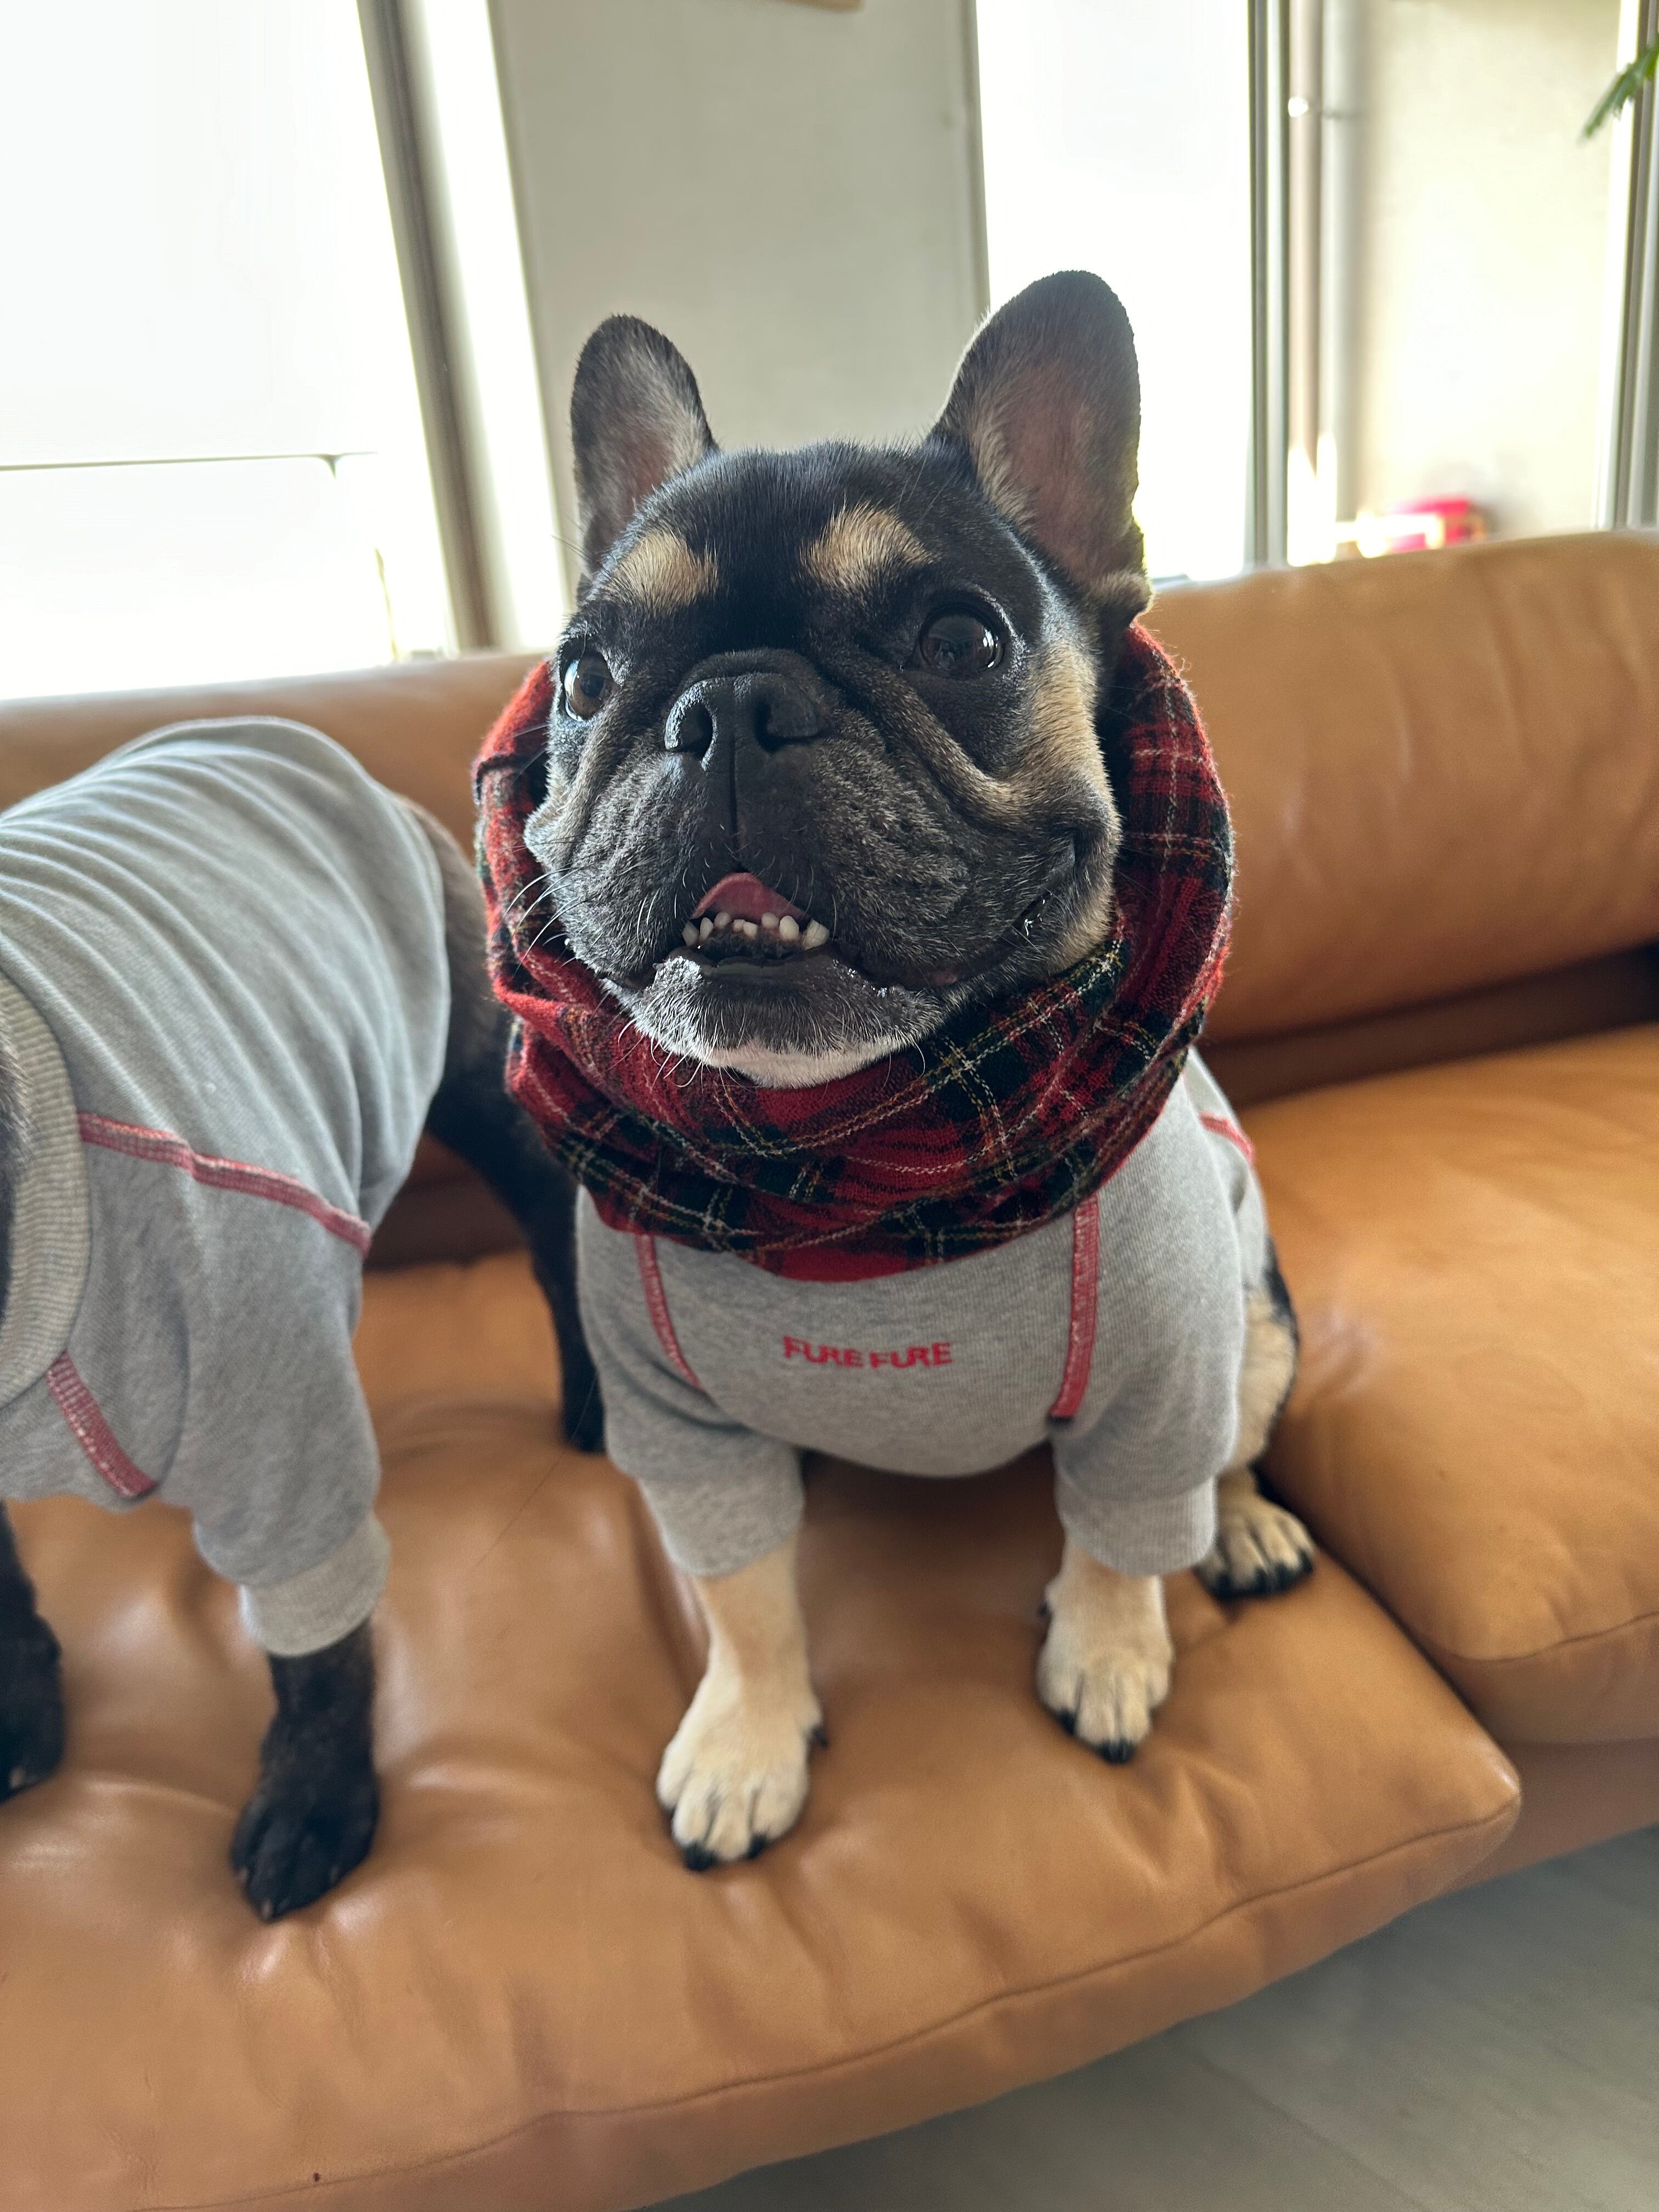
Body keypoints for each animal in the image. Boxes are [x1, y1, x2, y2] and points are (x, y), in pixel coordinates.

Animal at [477, 270, 1315, 1868]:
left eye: (962, 644)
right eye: (584, 677)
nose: (729, 707)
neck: (851, 1170)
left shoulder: (1165, 1378)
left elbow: (1125, 1535)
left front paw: (1108, 1653)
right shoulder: (678, 1427)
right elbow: (742, 1598)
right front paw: (747, 1739)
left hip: (1260, 1331)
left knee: (1228, 1451)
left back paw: (1242, 1526)